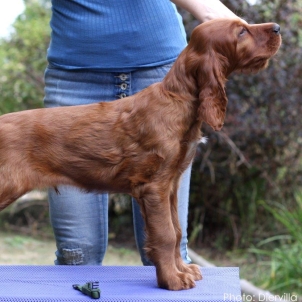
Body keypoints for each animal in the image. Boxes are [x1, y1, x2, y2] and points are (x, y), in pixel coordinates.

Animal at [0, 19, 280, 290]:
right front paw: (173, 280)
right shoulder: (153, 186)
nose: (277, 28)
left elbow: (177, 230)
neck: (177, 100)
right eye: (241, 31)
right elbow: (166, 234)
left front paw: (182, 270)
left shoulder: (170, 184)